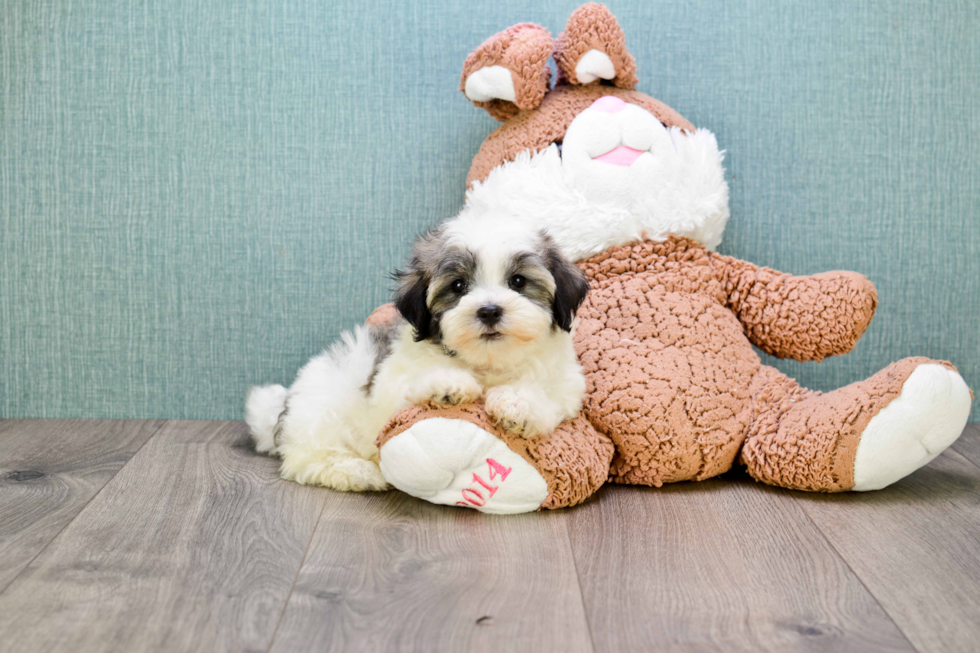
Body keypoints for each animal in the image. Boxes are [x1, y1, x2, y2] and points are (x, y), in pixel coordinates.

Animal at [245, 216, 584, 492]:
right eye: (458, 285)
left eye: (518, 281)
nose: (489, 310)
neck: (488, 362)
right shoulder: (391, 381)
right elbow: (411, 385)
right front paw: (449, 384)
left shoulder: (566, 385)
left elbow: (546, 395)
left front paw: (516, 404)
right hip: (325, 406)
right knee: (306, 458)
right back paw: (356, 472)